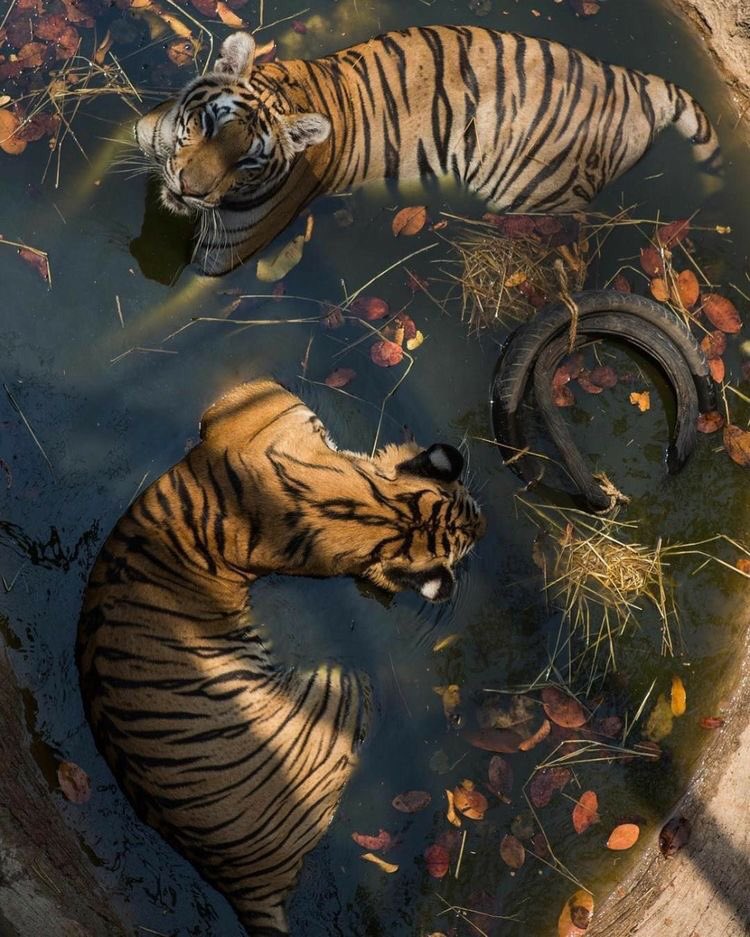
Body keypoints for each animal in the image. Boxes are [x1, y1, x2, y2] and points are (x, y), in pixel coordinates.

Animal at [77, 379, 485, 936]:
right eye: (471, 514)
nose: (485, 526)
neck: (375, 510)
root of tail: (239, 882)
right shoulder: (268, 409)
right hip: (338, 687)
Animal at [135, 26, 721, 275]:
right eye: (208, 123)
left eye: (248, 161)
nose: (188, 190)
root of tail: (634, 81)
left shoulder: (220, 257)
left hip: (539, 199)